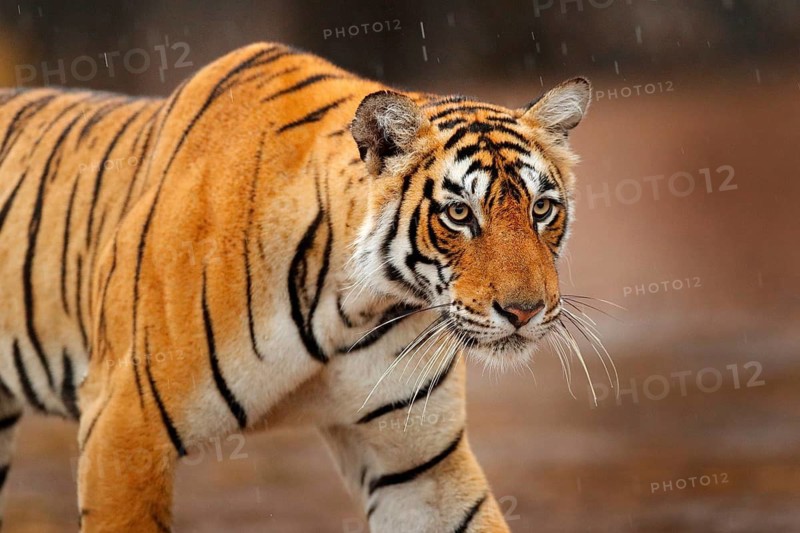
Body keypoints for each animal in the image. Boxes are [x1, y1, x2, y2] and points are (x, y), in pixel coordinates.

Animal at [0, 42, 590, 531]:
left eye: (542, 209)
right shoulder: (125, 425)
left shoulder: (419, 463)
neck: (356, 305)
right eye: (460, 213)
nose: (525, 311)